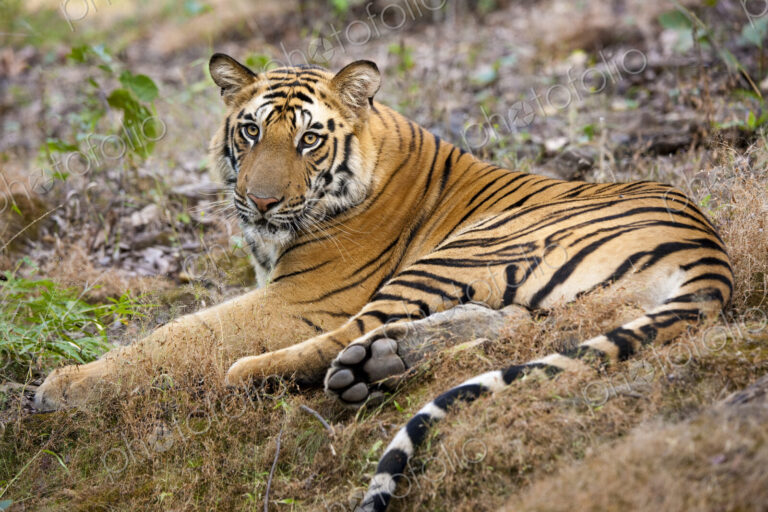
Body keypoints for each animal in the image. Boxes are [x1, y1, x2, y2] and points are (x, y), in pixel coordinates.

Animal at [34, 54, 732, 510]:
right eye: (250, 130)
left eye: (309, 140)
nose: (259, 202)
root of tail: (710, 247)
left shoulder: (299, 299)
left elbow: (179, 332)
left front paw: (62, 386)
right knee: (504, 323)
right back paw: (381, 362)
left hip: (467, 246)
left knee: (341, 339)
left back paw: (275, 373)